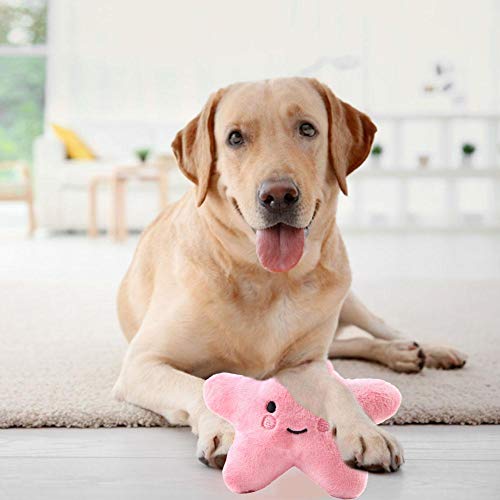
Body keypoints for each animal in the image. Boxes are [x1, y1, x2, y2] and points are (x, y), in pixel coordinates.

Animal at [112, 78, 464, 472]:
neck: (268, 279)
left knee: (380, 331)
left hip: (347, 299)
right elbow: (200, 385)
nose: (278, 196)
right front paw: (225, 432)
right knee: (342, 347)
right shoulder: (142, 364)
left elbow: (339, 387)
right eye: (235, 138)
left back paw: (423, 350)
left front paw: (366, 431)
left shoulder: (301, 366)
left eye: (307, 129)